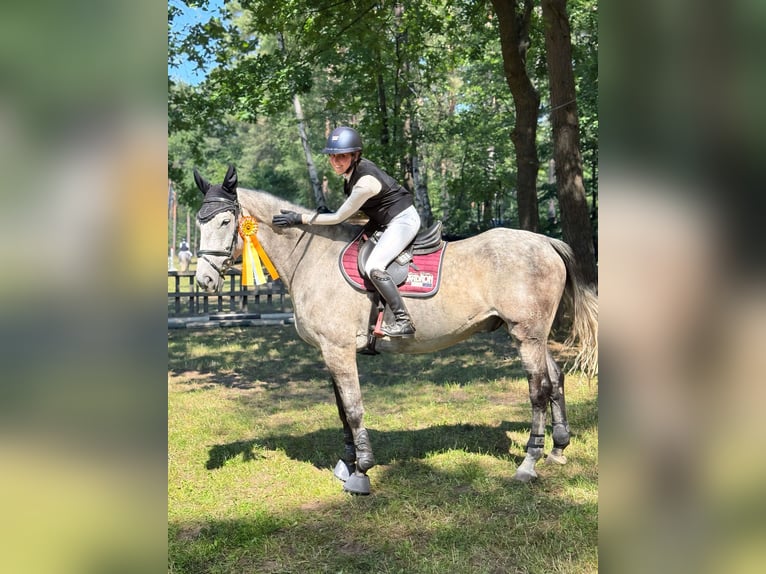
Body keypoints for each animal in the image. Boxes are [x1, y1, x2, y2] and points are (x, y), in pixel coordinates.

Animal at [193, 165, 598, 494]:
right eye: (199, 222)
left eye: (225, 222)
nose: (204, 281)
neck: (309, 257)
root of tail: (545, 241)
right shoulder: (329, 351)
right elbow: (341, 410)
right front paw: (347, 464)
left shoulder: (339, 349)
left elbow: (354, 408)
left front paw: (362, 472)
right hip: (533, 335)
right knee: (555, 378)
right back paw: (558, 449)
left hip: (526, 335)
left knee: (538, 389)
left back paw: (529, 463)